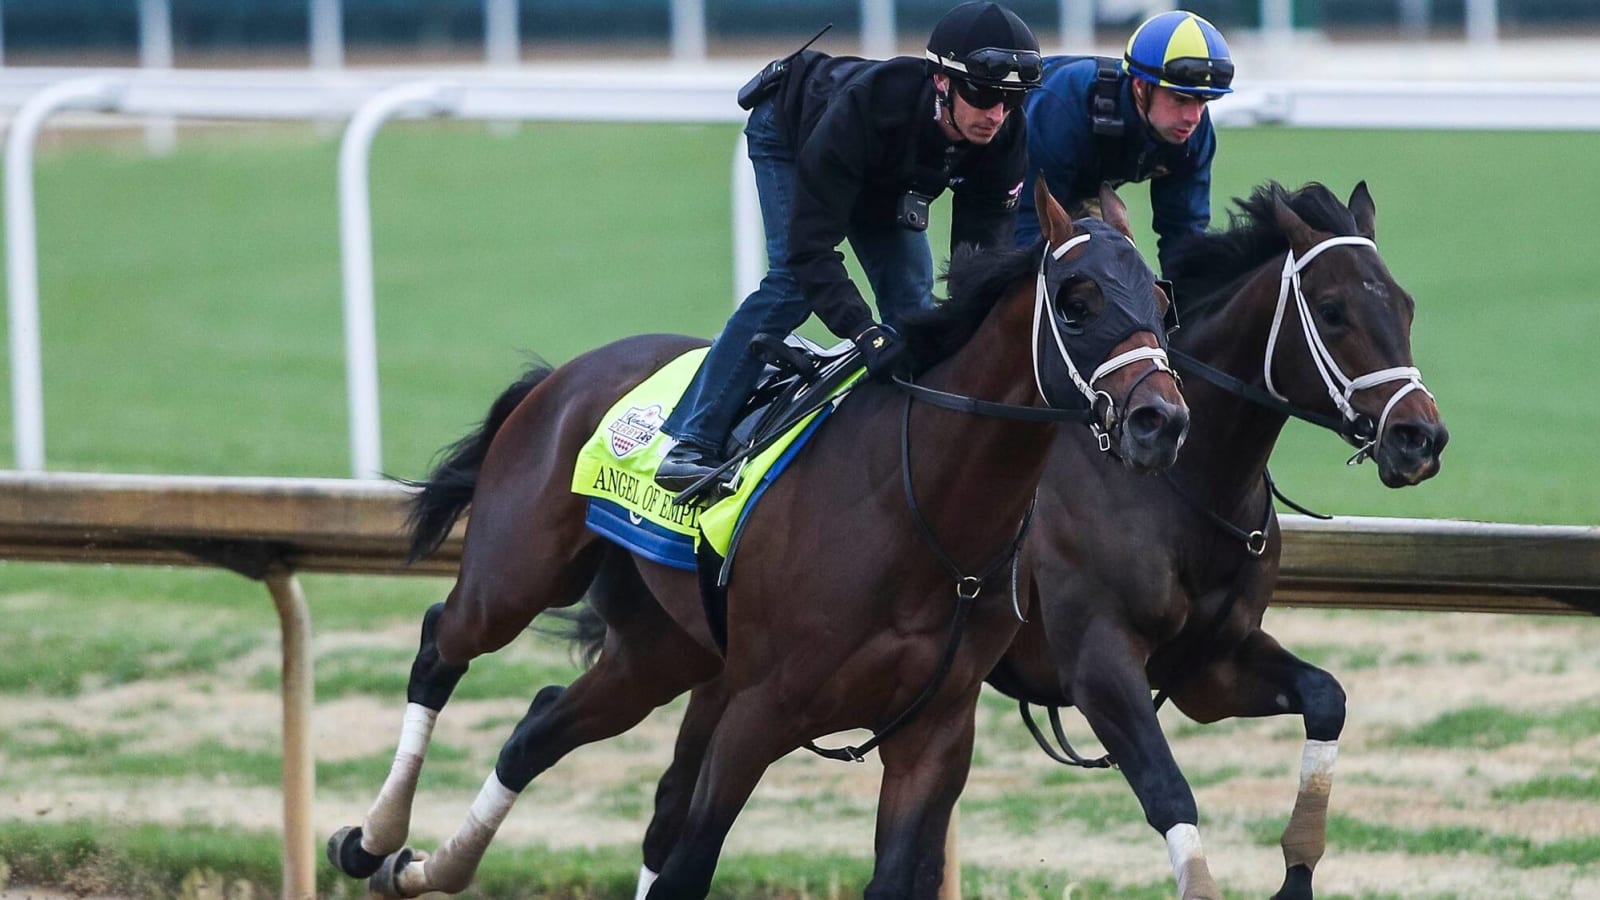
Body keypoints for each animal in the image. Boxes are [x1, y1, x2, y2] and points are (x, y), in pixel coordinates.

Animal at [321, 184, 1190, 896]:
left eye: (1161, 298)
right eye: (1076, 302)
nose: (1161, 421)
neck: (919, 513)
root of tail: (562, 376)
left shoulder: (935, 733)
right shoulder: (761, 709)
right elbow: (688, 866)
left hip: (661, 648)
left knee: (536, 728)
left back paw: (429, 865)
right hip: (516, 576)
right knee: (442, 642)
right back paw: (373, 842)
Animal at [624, 178, 1452, 890]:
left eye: (1408, 306)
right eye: (1334, 309)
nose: (1420, 437)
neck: (1177, 488)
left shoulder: (1208, 664)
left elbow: (1326, 697)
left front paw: (1298, 870)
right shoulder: (1098, 661)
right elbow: (1169, 792)